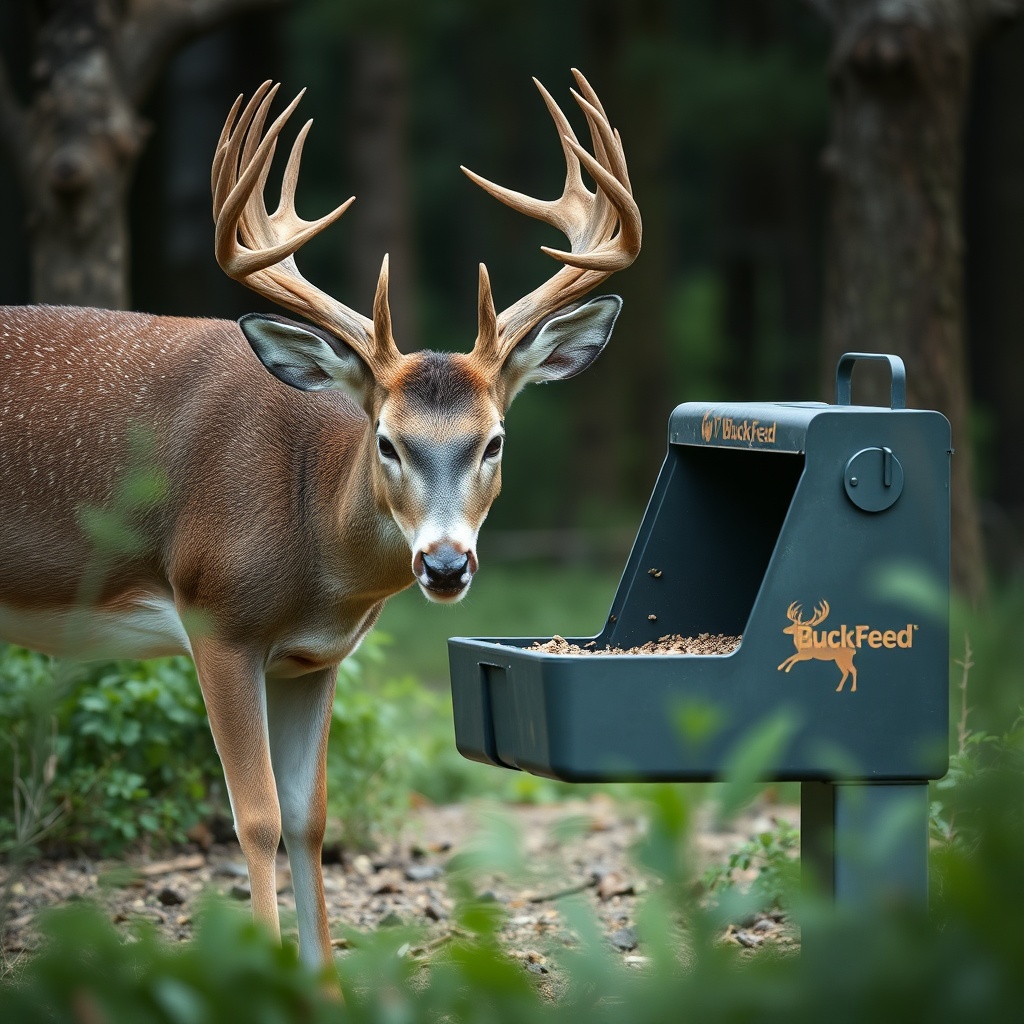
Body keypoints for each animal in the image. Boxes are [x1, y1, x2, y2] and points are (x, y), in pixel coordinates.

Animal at [0, 70, 640, 986]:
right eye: (387, 441)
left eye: (494, 441)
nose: (446, 565)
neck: (310, 544)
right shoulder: (216, 617)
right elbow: (258, 816)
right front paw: (262, 980)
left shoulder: (312, 657)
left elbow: (310, 817)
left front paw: (325, 985)